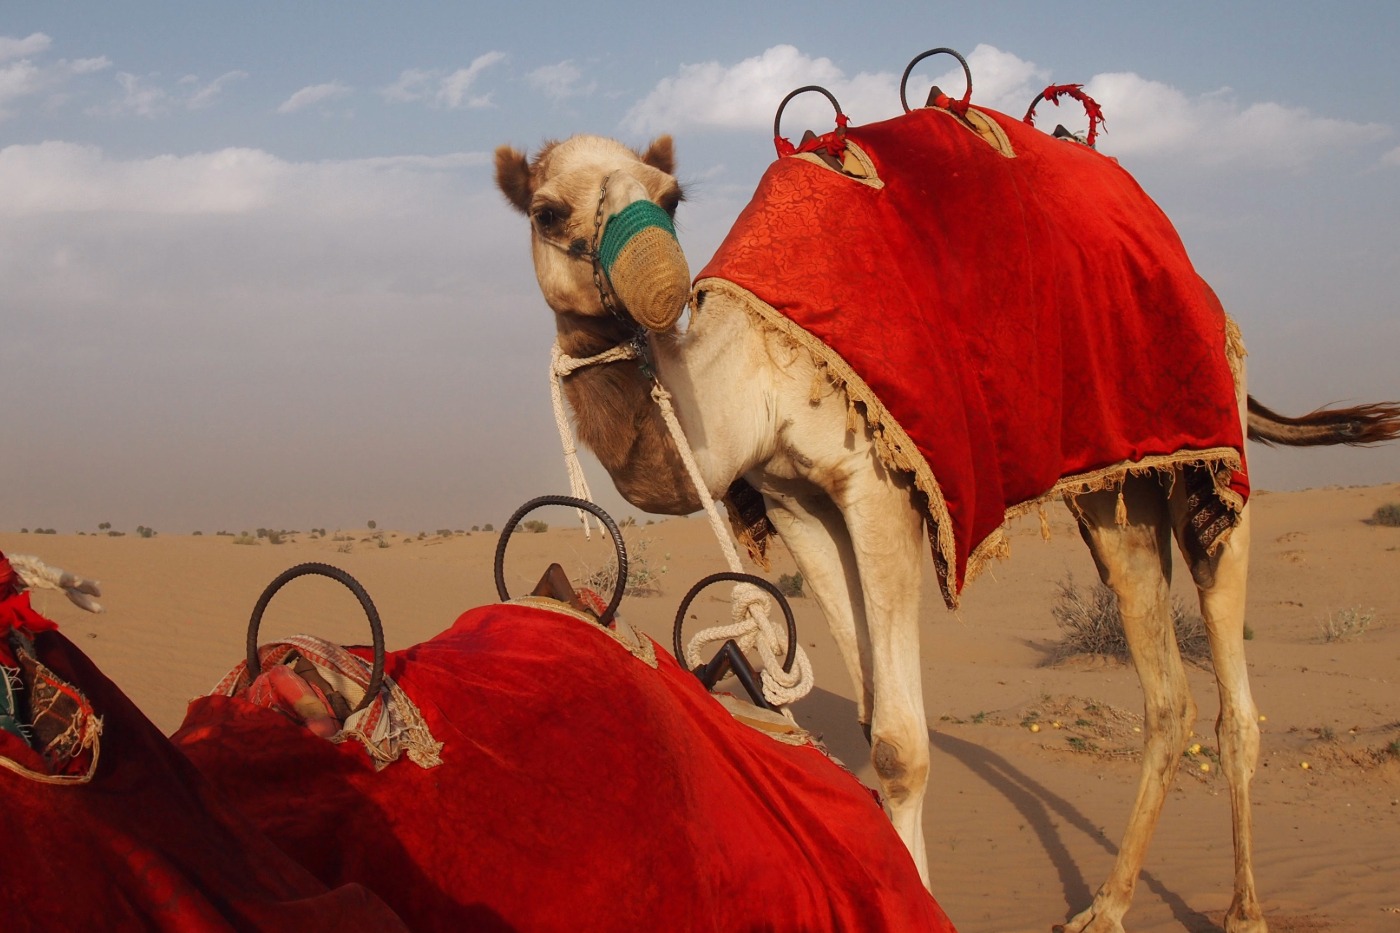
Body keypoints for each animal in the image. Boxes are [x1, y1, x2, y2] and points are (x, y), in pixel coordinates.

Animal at [498, 112, 1394, 924]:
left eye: (671, 198)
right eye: (547, 211)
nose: (659, 288)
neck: (752, 377)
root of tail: (1208, 293)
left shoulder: (879, 483)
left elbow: (899, 745)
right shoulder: (798, 502)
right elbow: (868, 716)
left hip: (1208, 449)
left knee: (1233, 691)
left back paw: (1244, 911)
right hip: (1113, 489)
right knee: (1164, 691)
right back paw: (1104, 906)